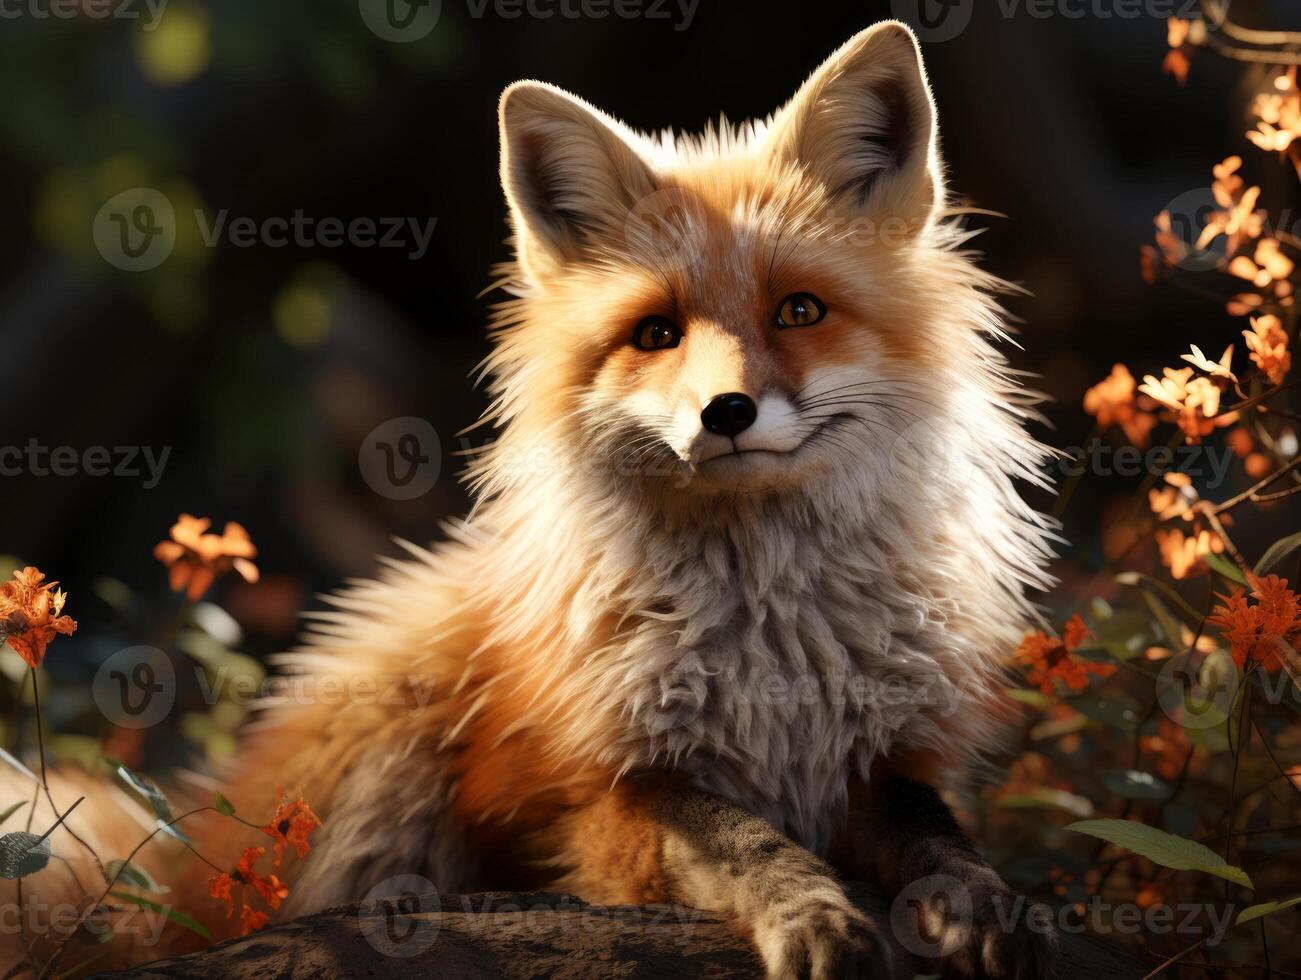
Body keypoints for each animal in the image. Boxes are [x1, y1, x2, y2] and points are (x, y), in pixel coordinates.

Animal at [5, 20, 1061, 978]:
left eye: (798, 311)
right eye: (656, 333)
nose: (725, 412)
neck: (769, 632)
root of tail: (188, 871)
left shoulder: (884, 759)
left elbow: (936, 835)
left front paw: (977, 902)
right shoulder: (606, 799)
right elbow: (744, 840)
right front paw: (809, 913)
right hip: (392, 703)